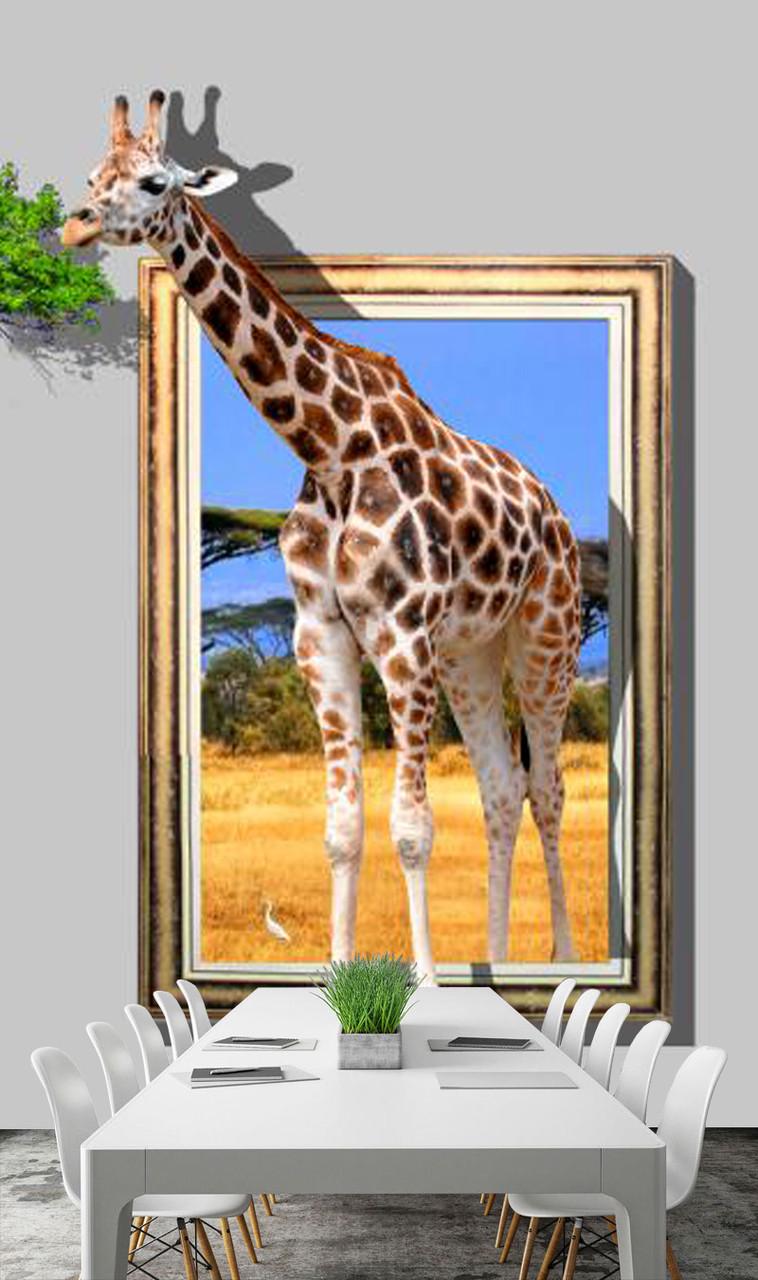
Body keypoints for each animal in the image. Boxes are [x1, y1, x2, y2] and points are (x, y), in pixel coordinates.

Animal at [63, 93, 581, 976]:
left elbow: (411, 830)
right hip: (471, 653)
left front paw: (425, 982)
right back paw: (498, 957)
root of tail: (558, 514)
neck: (331, 449)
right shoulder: (321, 633)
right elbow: (341, 831)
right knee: (502, 789)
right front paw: (339, 978)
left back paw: (563, 959)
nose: (74, 223)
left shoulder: (401, 636)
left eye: (154, 179)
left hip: (546, 637)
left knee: (547, 788)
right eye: (95, 174)